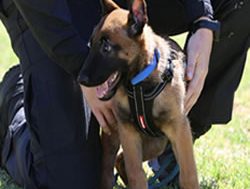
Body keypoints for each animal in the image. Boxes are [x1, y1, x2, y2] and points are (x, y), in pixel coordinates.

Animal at [79, 0, 198, 189]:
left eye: (106, 47)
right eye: (91, 45)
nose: (80, 79)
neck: (139, 85)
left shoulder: (180, 130)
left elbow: (189, 175)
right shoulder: (128, 132)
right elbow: (136, 174)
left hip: (157, 143)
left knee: (120, 160)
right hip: (117, 135)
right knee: (109, 166)